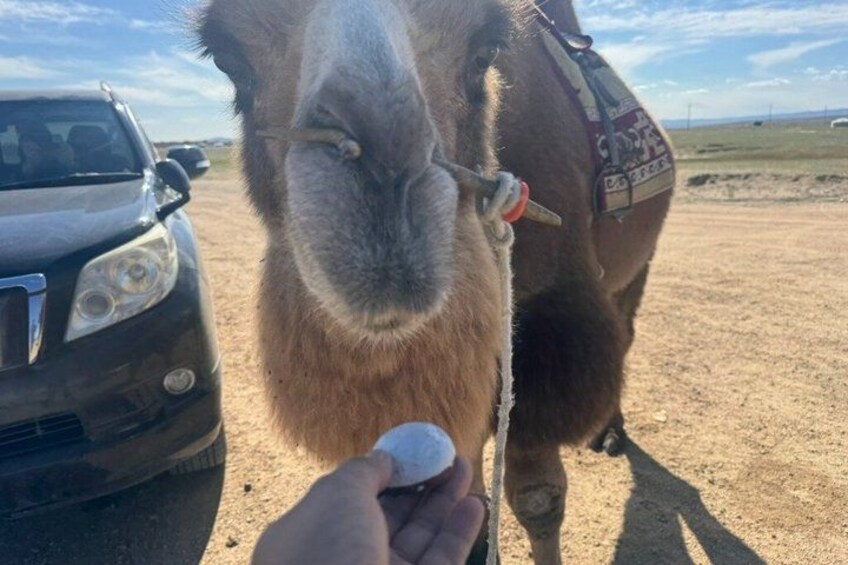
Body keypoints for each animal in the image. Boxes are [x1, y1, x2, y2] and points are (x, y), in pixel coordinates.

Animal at [198, 0, 672, 562]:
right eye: (228, 61)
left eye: (485, 54)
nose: (384, 166)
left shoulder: (548, 332)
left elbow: (537, 498)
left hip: (638, 260)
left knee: (627, 326)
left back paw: (612, 432)